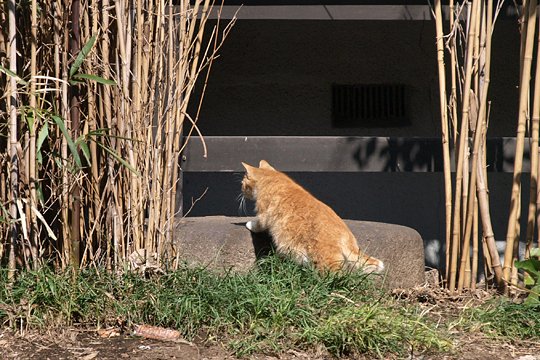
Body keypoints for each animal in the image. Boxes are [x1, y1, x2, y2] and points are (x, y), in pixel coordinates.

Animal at [240, 160, 384, 272]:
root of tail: (346, 235)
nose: (241, 190)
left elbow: (259, 224)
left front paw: (249, 224)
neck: (273, 178)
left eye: (242, 183)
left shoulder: (264, 214)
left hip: (325, 262)